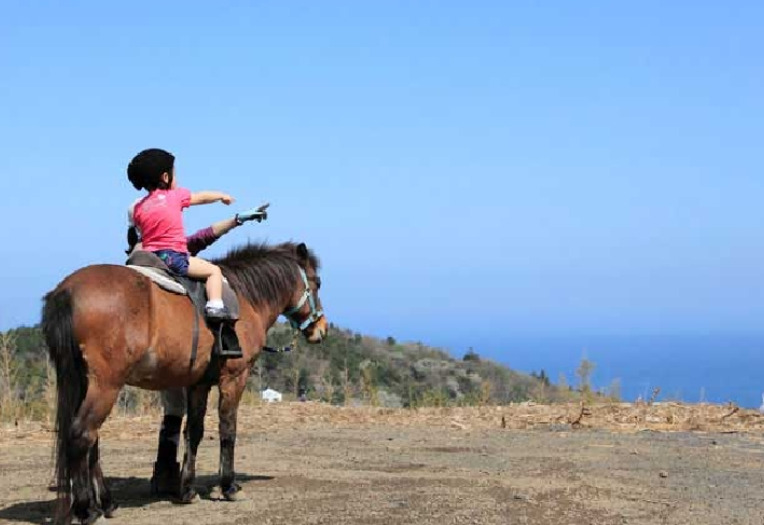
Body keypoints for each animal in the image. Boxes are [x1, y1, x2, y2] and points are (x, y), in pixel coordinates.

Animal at [41, 239, 326, 520]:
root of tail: (67, 290)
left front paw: (187, 489)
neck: (245, 297)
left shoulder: (198, 384)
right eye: (317, 282)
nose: (321, 329)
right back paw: (86, 508)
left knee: (91, 440)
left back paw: (107, 503)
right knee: (82, 435)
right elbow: (228, 429)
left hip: (85, 383)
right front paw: (229, 486)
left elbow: (193, 432)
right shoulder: (234, 378)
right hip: (106, 385)